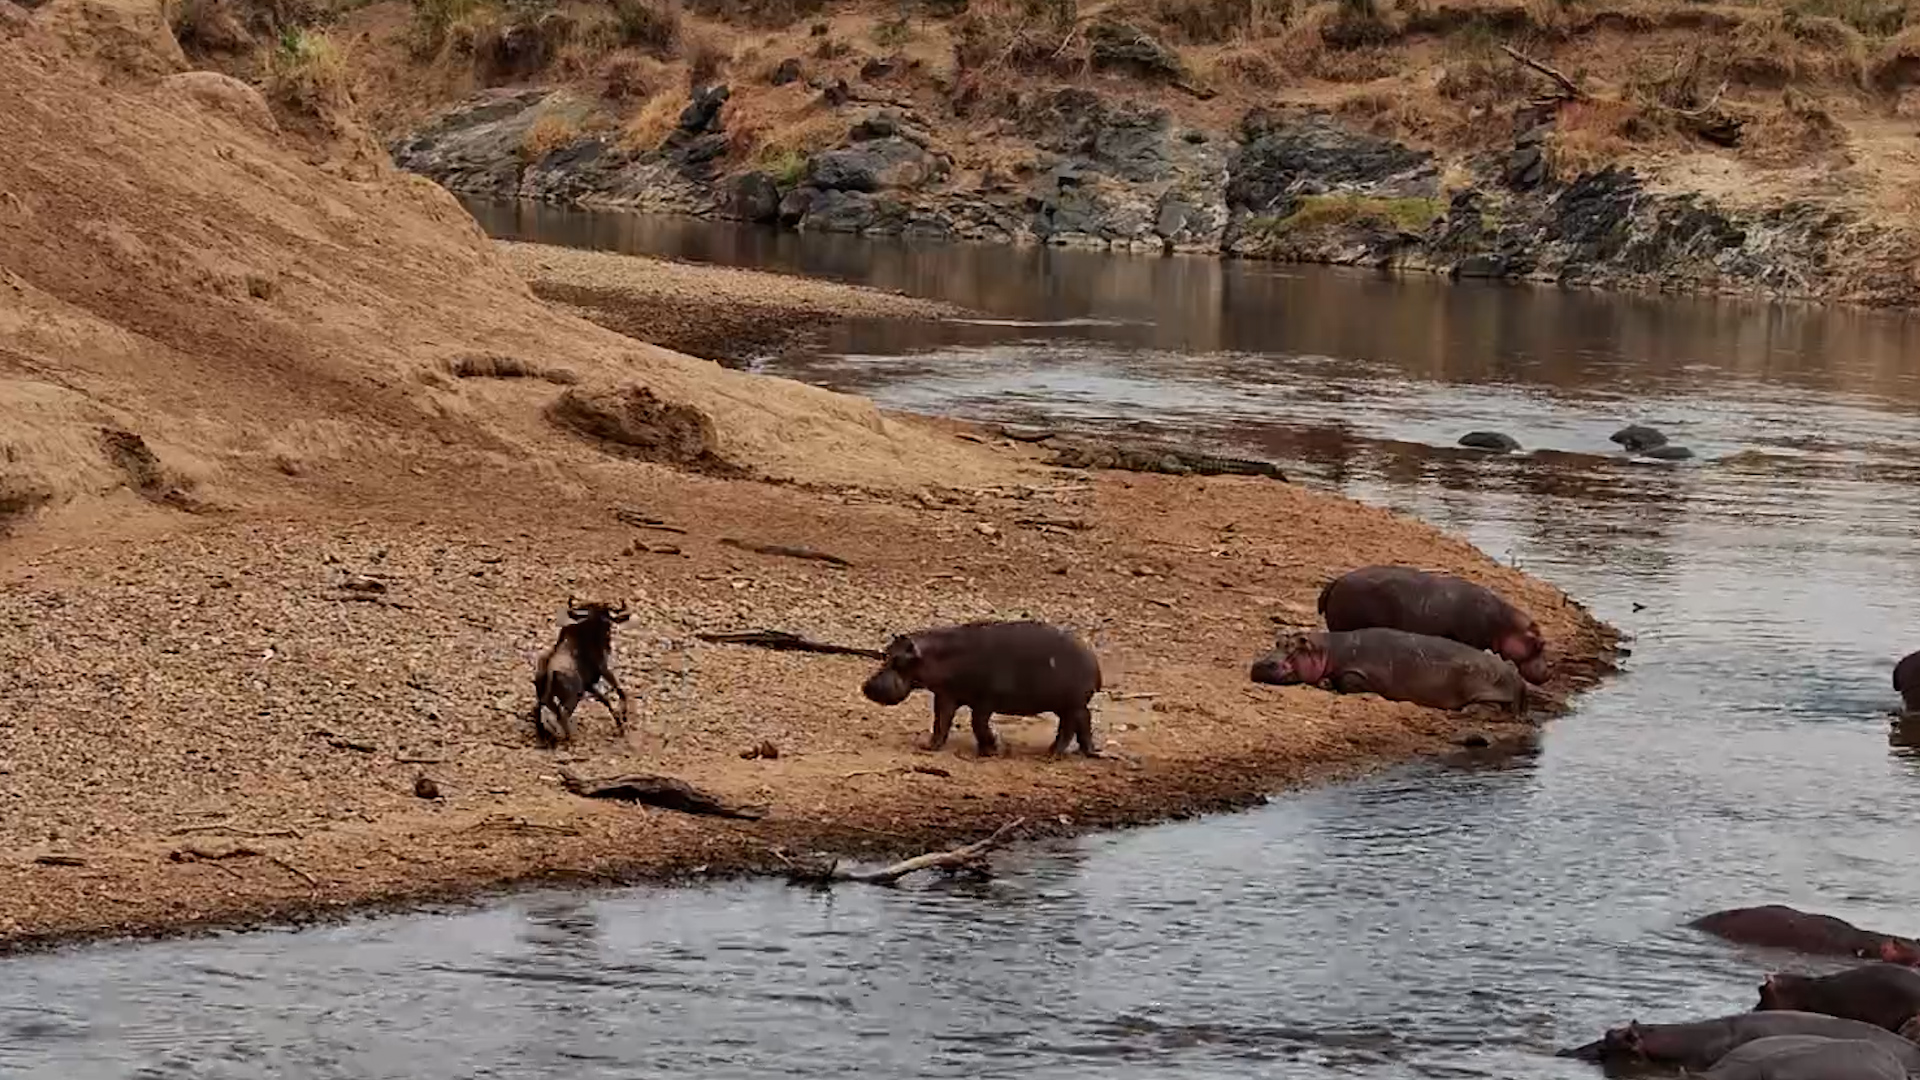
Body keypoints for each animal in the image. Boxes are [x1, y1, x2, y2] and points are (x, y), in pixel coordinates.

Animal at [860, 620, 1101, 758]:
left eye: (899, 660)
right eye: (886, 654)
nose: (867, 686)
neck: (935, 656)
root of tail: (1091, 656)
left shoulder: (985, 700)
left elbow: (978, 724)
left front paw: (989, 751)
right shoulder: (946, 695)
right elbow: (941, 722)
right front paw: (929, 747)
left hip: (1070, 703)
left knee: (1069, 727)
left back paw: (1052, 755)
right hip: (1068, 704)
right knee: (1084, 720)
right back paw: (1087, 752)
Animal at [1250, 627, 1526, 715]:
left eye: (1294, 647)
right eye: (1278, 641)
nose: (1261, 664)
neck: (1326, 650)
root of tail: (1515, 675)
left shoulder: (1362, 671)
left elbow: (1349, 681)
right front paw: (1325, 682)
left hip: (1486, 688)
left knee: (1493, 706)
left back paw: (1469, 711)